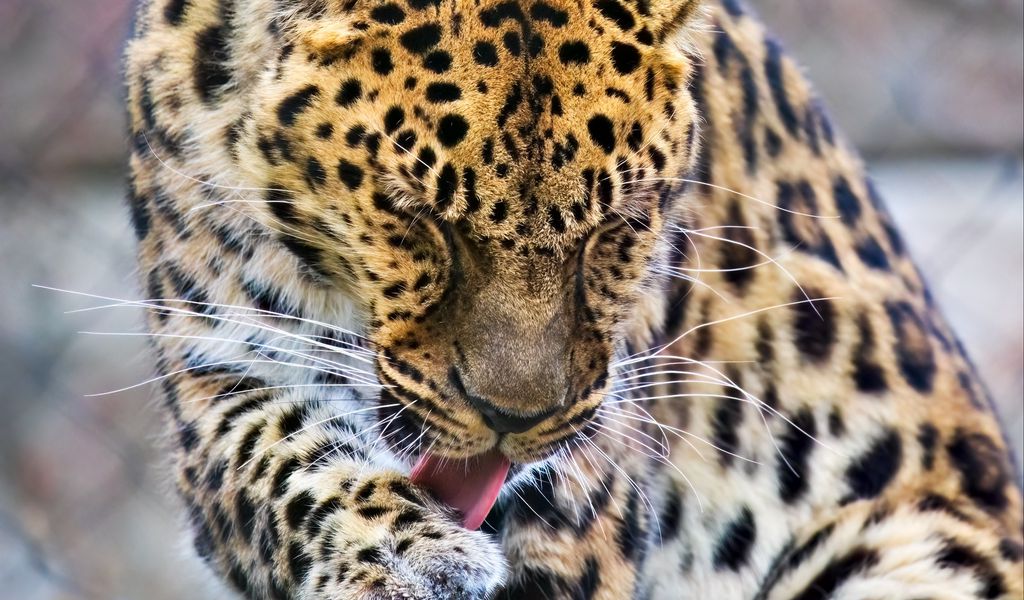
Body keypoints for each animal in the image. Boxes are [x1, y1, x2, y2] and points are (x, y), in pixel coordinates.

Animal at [123, 0, 1024, 597]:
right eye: (418, 218)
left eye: (614, 228)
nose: (510, 421)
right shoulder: (219, 370)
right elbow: (287, 462)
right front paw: (410, 556)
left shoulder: (590, 471)